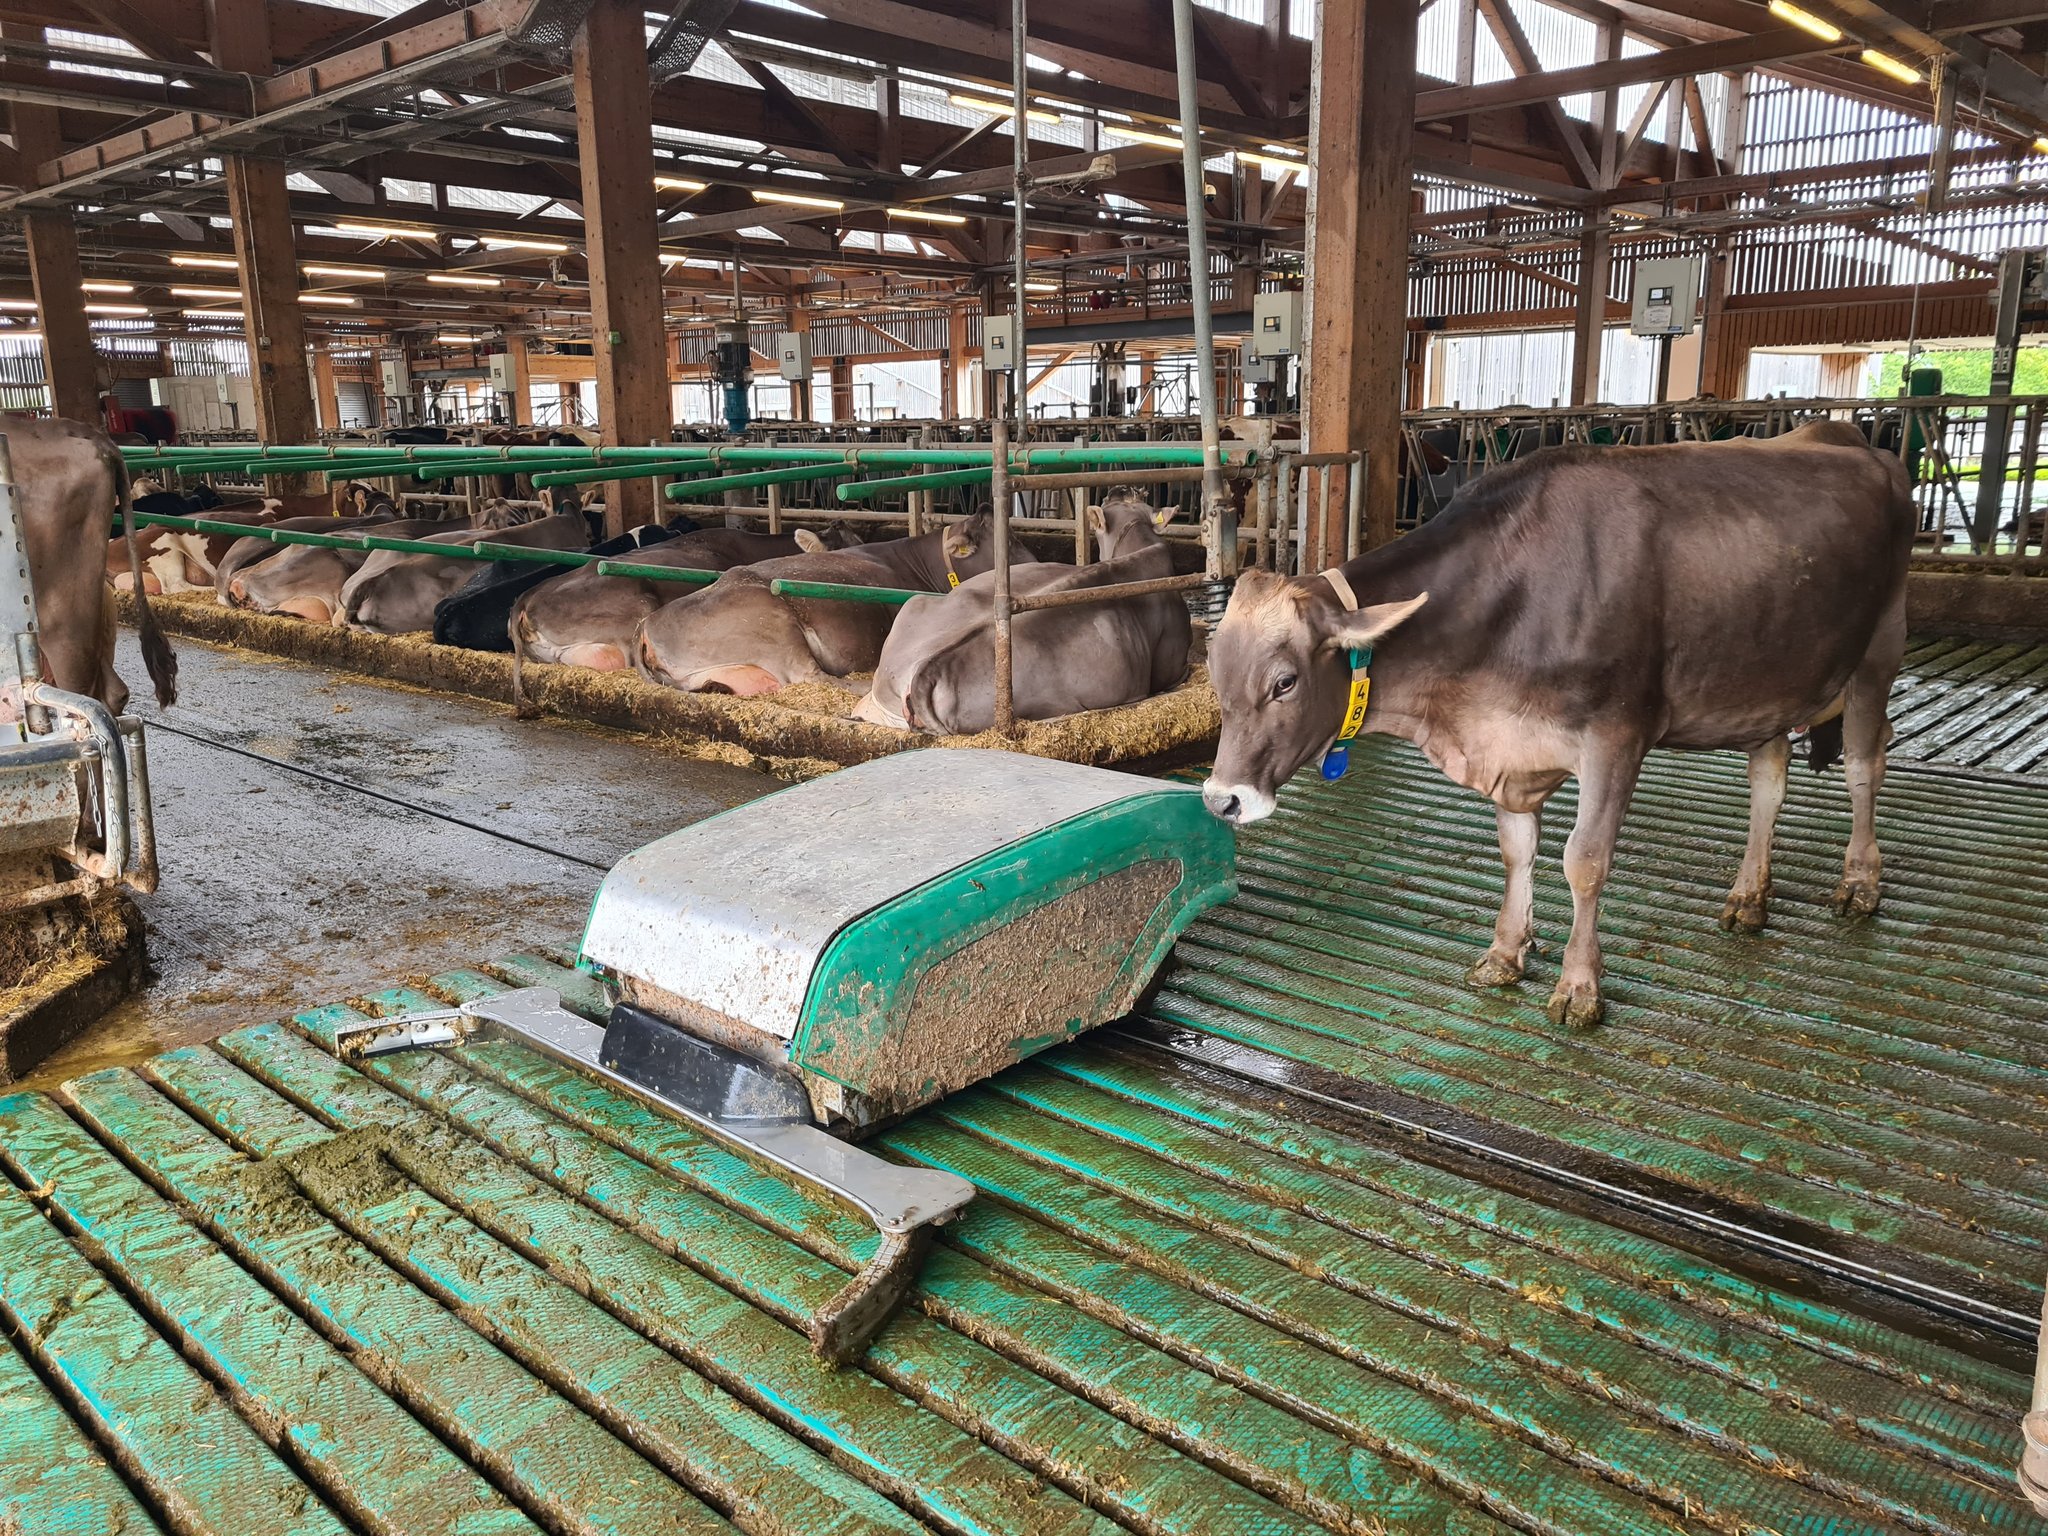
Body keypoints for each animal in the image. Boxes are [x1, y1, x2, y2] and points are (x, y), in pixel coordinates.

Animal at [1200, 421, 1914, 1028]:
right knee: (1769, 777)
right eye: (1214, 671)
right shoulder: (1511, 744)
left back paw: (1859, 882)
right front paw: (1505, 952)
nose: (1221, 799)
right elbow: (1517, 850)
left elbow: (1585, 861)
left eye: (1285, 682)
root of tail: (1852, 440)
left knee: (1864, 765)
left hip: (1880, 648)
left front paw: (1579, 986)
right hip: (1767, 676)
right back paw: (1748, 898)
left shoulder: (1617, 737)